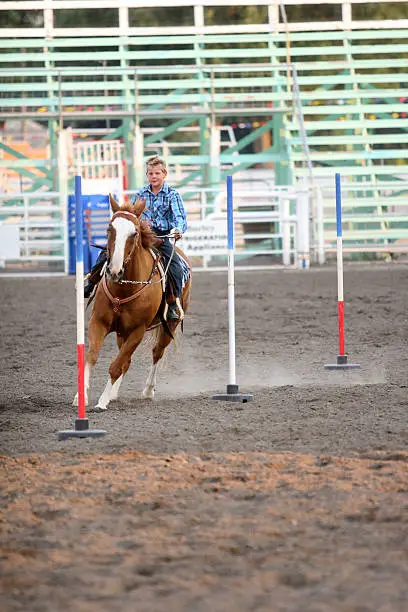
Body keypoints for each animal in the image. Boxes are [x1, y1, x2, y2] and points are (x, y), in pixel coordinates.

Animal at [73, 194, 193, 408]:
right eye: (109, 229)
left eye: (134, 232)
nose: (114, 270)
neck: (123, 288)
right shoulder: (98, 322)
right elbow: (92, 356)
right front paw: (82, 396)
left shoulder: (137, 330)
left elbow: (115, 366)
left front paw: (101, 401)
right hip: (122, 332)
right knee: (126, 361)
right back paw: (114, 393)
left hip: (167, 326)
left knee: (156, 353)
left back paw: (148, 390)